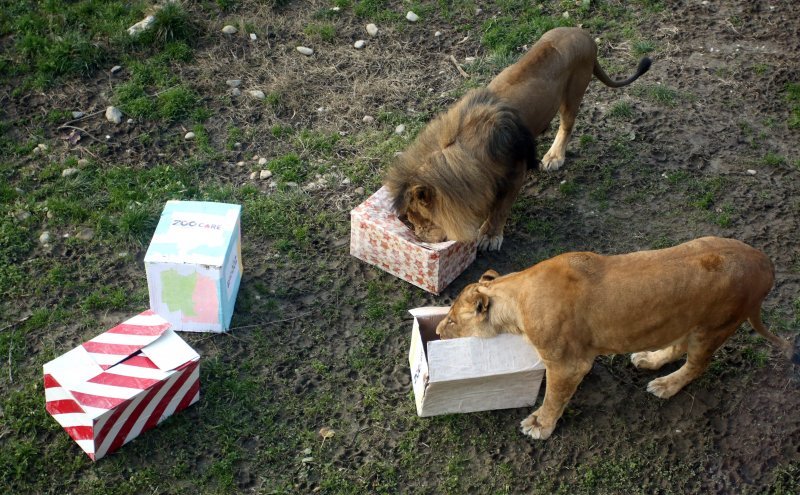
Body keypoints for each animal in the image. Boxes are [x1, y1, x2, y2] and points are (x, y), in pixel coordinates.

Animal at [384, 27, 652, 250]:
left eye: (420, 217)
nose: (419, 238)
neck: (467, 148)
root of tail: (584, 34)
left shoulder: (516, 172)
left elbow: (501, 208)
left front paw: (489, 235)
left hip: (574, 93)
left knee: (567, 126)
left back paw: (554, 156)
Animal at [434, 238, 796, 440]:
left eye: (451, 319)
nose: (436, 331)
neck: (515, 296)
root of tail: (766, 264)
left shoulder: (568, 364)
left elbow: (554, 396)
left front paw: (540, 424)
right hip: (688, 318)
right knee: (678, 345)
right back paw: (649, 359)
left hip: (715, 326)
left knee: (697, 366)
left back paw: (666, 385)